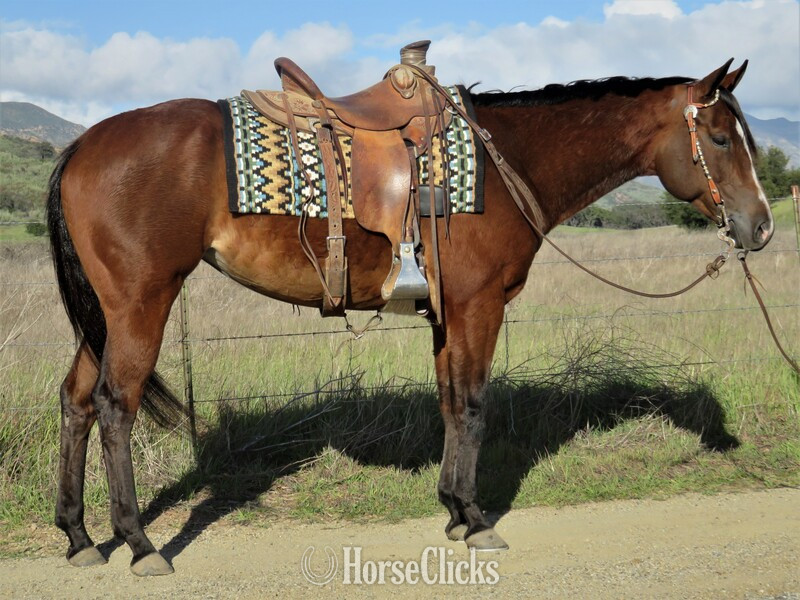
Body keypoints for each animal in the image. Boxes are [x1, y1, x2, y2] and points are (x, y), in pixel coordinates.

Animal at [47, 58, 773, 576]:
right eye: (718, 137)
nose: (761, 227)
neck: (509, 163)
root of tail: (83, 145)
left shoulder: (448, 315)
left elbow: (450, 402)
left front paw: (453, 511)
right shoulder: (480, 306)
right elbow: (474, 404)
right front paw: (477, 519)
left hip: (106, 316)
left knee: (76, 401)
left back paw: (80, 536)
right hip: (141, 302)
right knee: (115, 406)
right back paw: (140, 544)